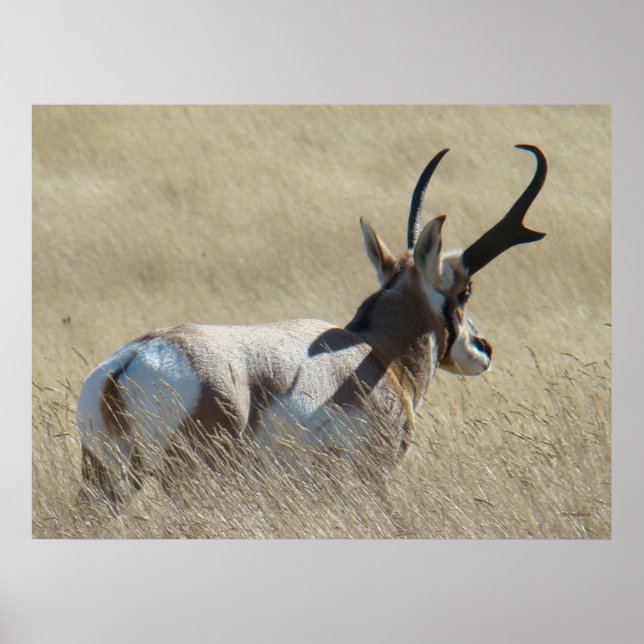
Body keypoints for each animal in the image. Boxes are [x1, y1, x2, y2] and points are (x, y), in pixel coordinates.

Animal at [77, 144, 547, 503]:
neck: (374, 351)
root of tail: (131, 361)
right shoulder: (371, 476)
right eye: (465, 291)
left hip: (108, 481)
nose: (483, 349)